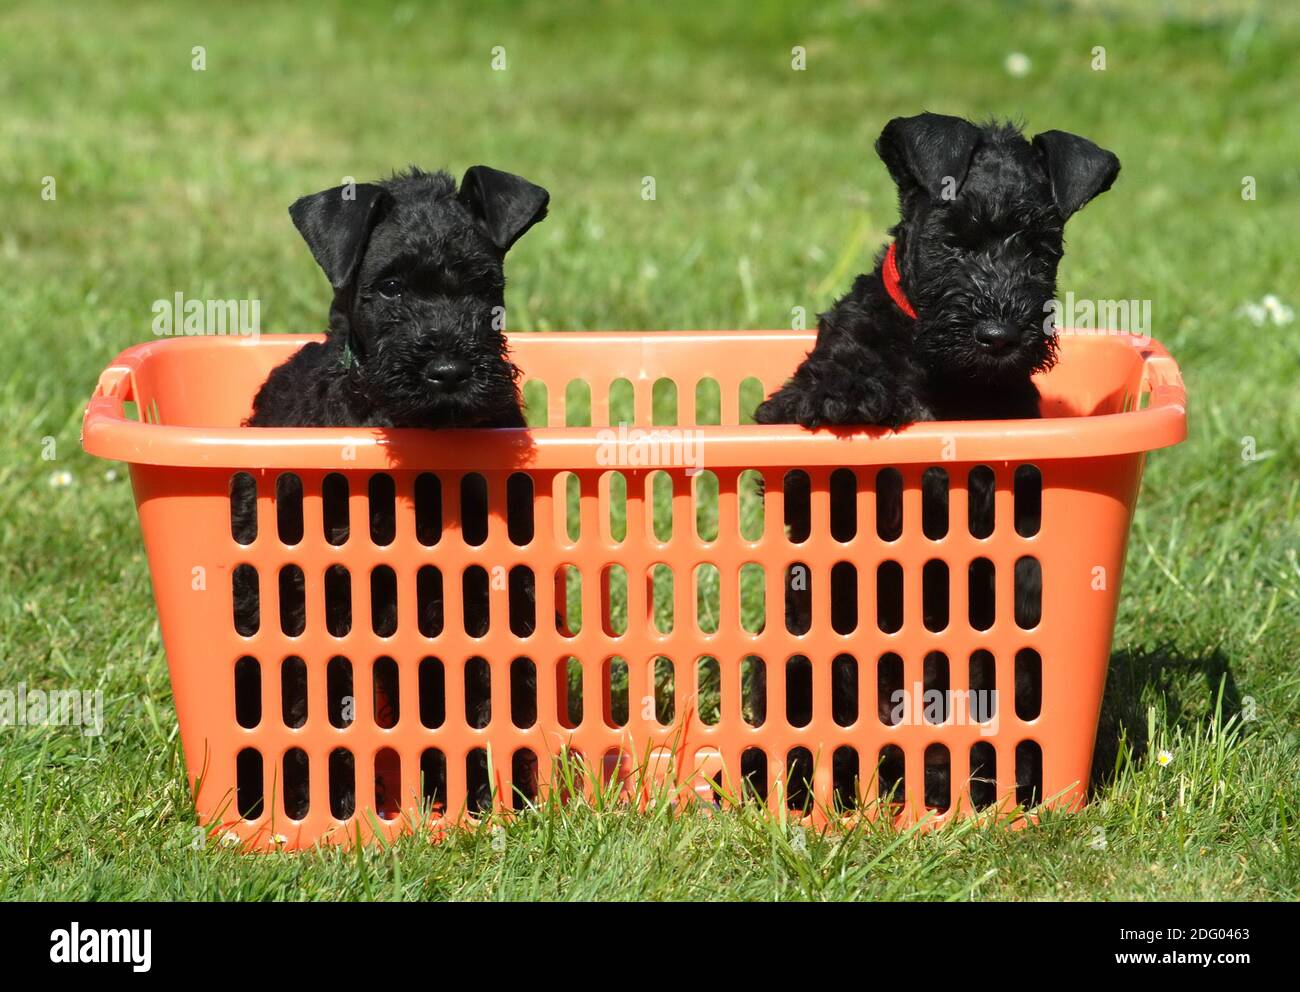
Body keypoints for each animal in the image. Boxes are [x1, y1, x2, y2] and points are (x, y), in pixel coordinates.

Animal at [236, 166, 546, 821]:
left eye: (484, 286)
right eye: (391, 288)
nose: (449, 372)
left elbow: (479, 696)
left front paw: (479, 796)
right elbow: (315, 710)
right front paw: (331, 805)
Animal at [759, 116, 1123, 816]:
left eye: (1042, 249)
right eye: (952, 240)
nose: (999, 338)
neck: (940, 370)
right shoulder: (787, 439)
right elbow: (828, 387)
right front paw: (847, 391)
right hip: (793, 662)